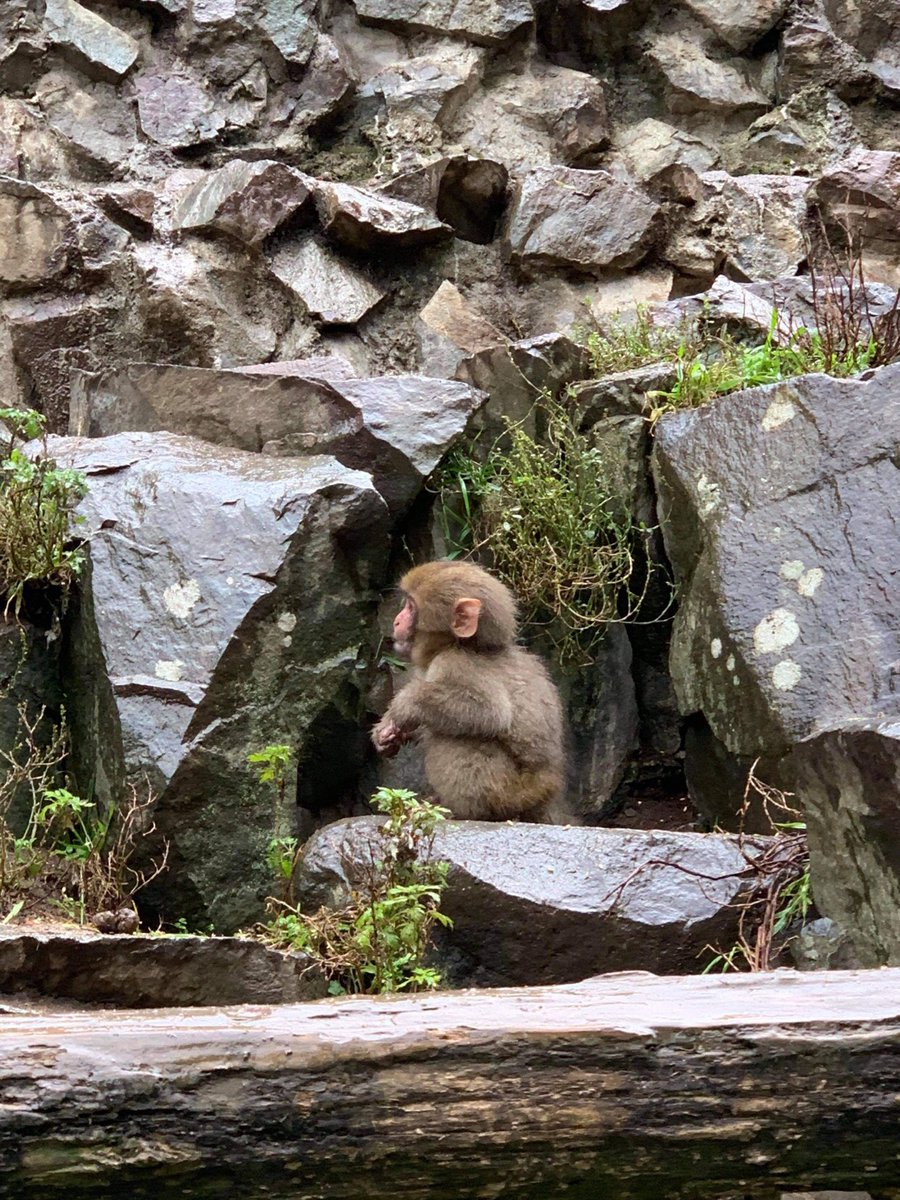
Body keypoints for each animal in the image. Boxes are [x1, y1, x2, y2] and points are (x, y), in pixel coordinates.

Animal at [371, 560, 568, 823]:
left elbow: (489, 711)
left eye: (411, 607)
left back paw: (459, 811)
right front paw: (387, 732)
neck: (466, 645)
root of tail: (546, 789)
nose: (396, 621)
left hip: (506, 791)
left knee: (457, 738)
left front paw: (404, 706)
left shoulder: (456, 662)